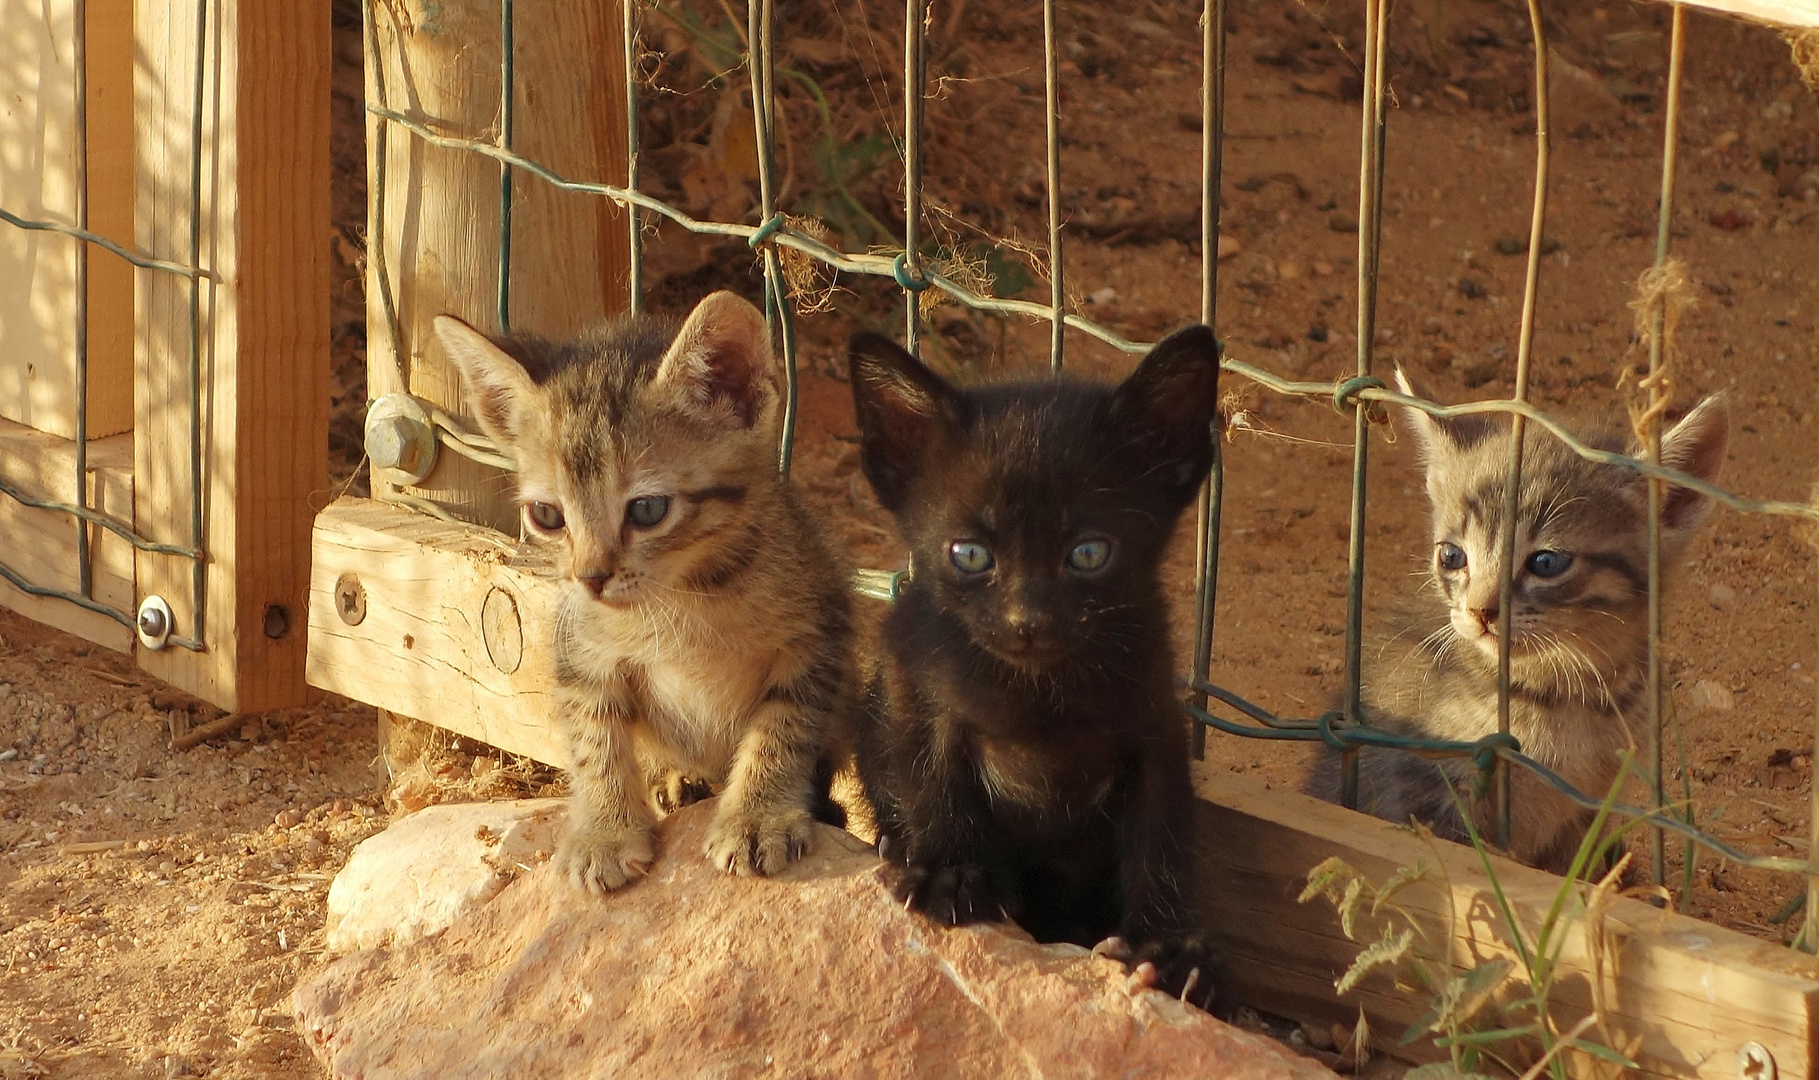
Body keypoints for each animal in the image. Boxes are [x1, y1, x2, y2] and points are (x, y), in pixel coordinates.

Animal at [432, 292, 851, 890]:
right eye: (546, 516)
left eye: (648, 509)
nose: (590, 577)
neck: (684, 596)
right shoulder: (581, 653)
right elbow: (594, 742)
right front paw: (604, 831)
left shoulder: (815, 633)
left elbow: (782, 729)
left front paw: (757, 816)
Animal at [847, 321, 1222, 1010]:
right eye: (969, 554)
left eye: (1090, 553)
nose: (1029, 621)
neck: (1039, 700)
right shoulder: (917, 685)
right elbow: (929, 773)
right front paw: (949, 875)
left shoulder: (1153, 725)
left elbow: (1162, 834)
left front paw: (1170, 950)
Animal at [1316, 370, 1724, 872]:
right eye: (1452, 556)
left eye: (1546, 563)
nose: (1480, 611)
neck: (1562, 696)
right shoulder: (1418, 783)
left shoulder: (1587, 809)